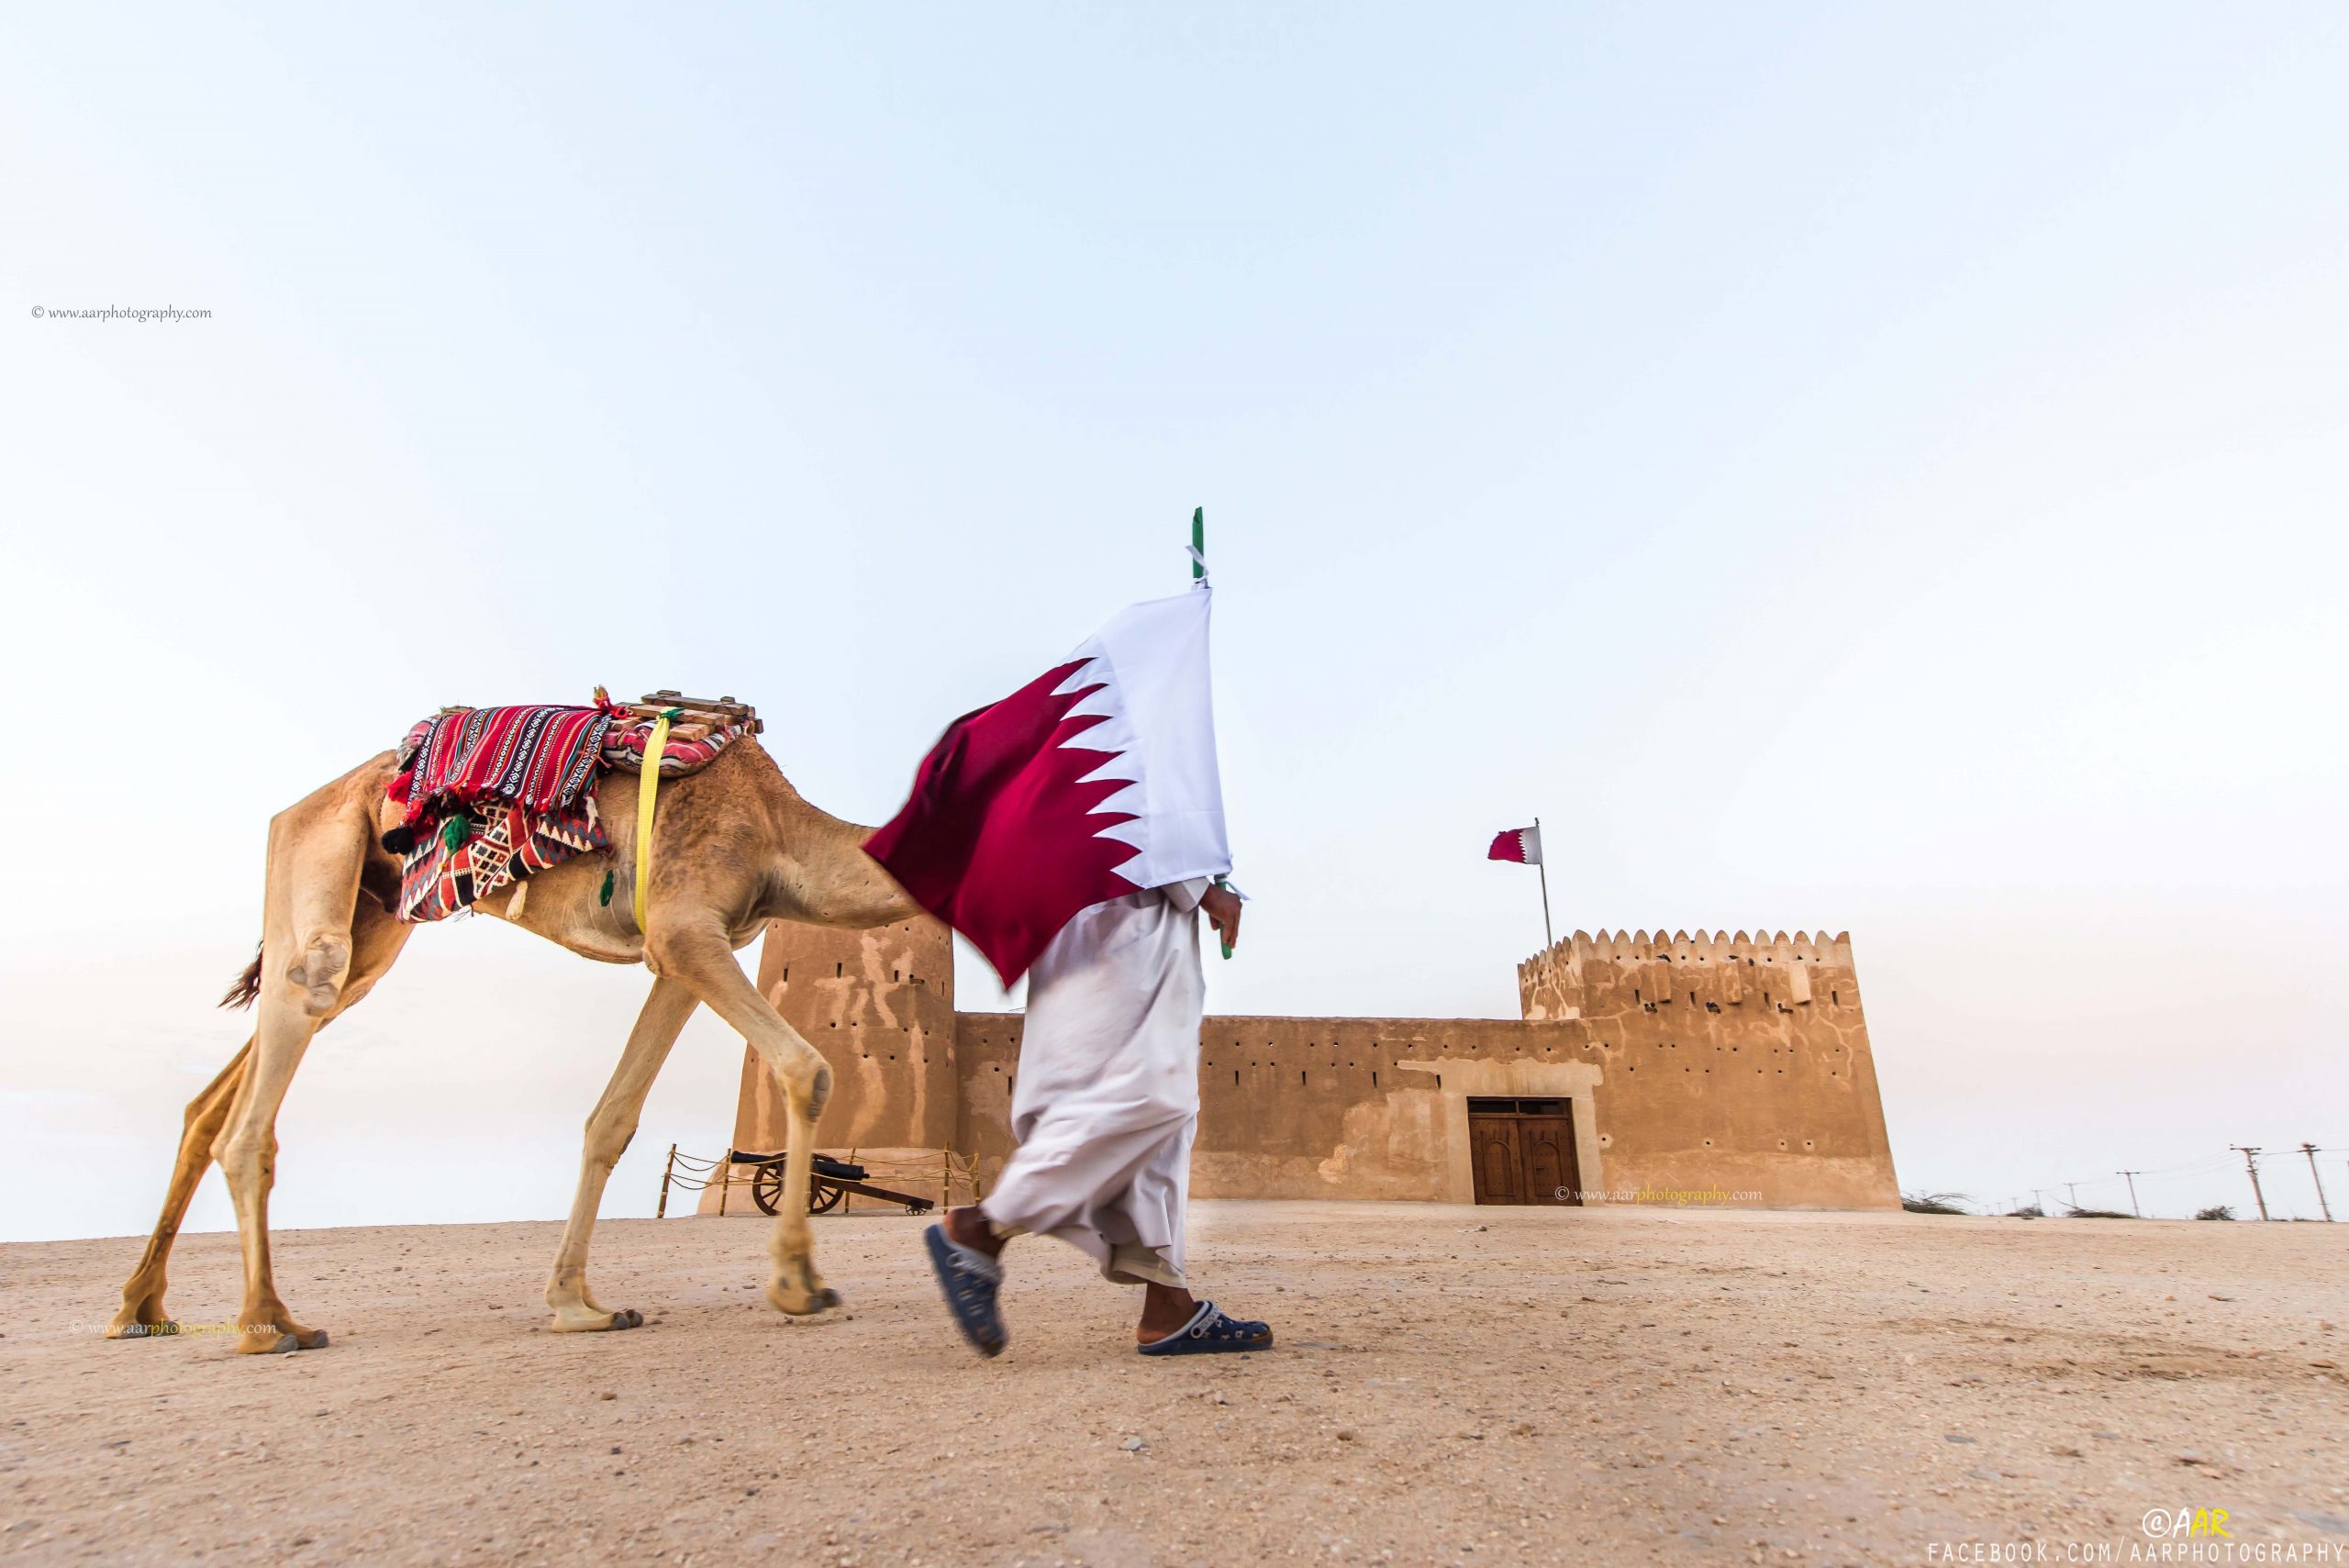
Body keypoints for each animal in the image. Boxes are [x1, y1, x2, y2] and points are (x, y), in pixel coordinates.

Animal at [107, 717, 916, 1351]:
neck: (781, 832)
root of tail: (294, 808)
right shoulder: (686, 926)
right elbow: (809, 1067)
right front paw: (798, 1280)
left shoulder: (686, 955)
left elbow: (612, 1119)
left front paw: (577, 1305)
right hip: (315, 867)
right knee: (273, 1065)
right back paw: (269, 1321)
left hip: (374, 919)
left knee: (222, 1090)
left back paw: (140, 1306)